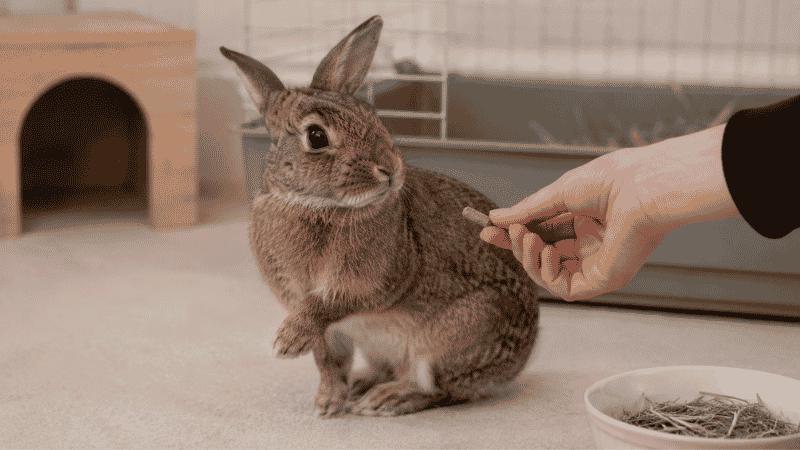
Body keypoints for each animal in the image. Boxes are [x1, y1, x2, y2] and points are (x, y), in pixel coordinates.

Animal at [220, 15, 539, 417]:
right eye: (316, 136)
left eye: (373, 117)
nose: (389, 170)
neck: (316, 205)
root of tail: (517, 366)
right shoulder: (329, 327)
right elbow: (329, 361)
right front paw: (328, 403)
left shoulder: (371, 283)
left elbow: (326, 307)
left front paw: (287, 342)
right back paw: (363, 386)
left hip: (451, 341)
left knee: (438, 389)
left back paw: (386, 399)